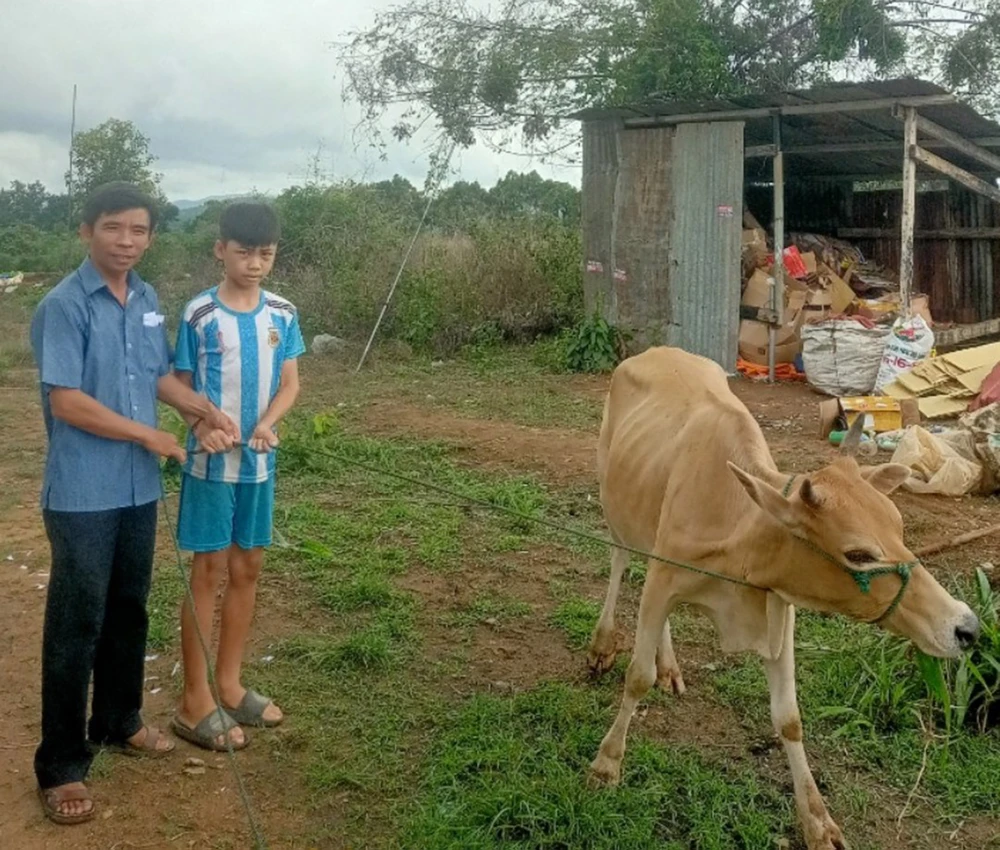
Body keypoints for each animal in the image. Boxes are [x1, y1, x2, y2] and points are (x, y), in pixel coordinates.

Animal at [584, 344, 976, 848]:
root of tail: (653, 351)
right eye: (858, 554)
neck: (741, 531)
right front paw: (606, 764)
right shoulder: (663, 578)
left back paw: (669, 665)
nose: (966, 626)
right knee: (618, 563)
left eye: (899, 526)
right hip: (615, 508)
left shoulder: (779, 608)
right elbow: (636, 677)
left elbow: (789, 717)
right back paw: (602, 645)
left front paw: (817, 820)